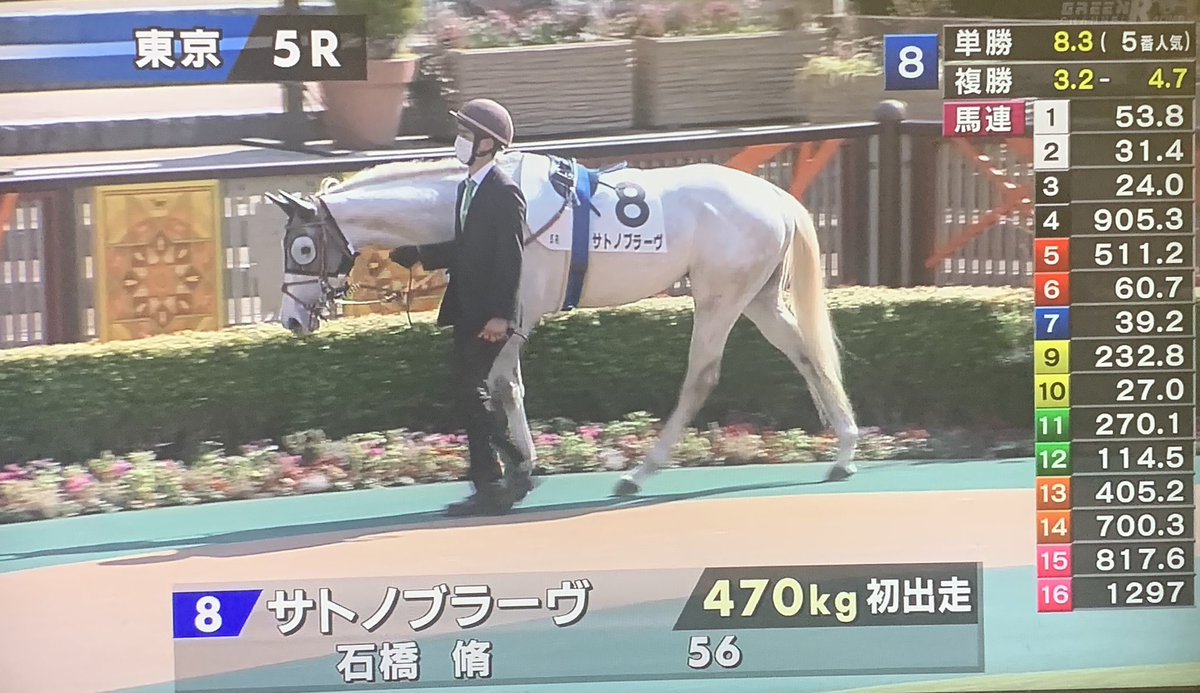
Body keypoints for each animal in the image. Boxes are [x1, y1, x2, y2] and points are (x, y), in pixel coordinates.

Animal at [265, 150, 859, 496]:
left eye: (301, 247)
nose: (290, 319)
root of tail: (776, 196)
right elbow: (501, 386)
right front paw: (513, 464)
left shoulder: (518, 313)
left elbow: (501, 385)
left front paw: (519, 466)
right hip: (758, 297)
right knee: (807, 353)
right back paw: (845, 451)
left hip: (720, 295)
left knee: (702, 376)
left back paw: (640, 471)